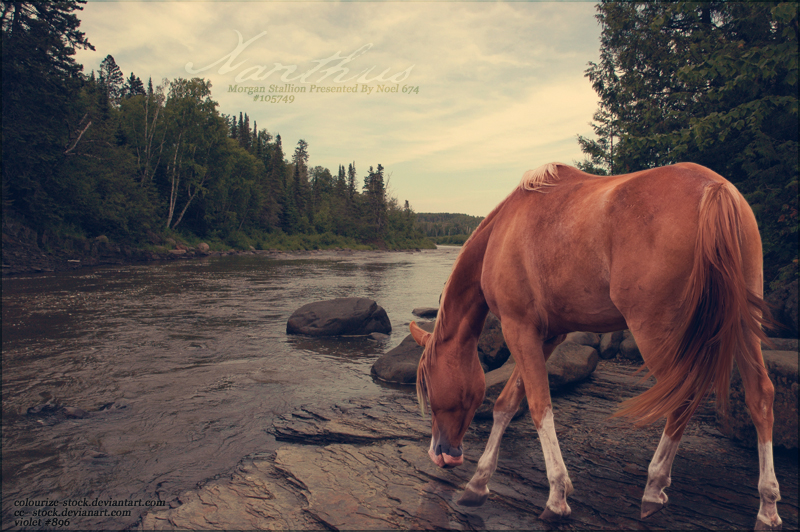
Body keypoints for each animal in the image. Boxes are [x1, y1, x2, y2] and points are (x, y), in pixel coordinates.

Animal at [410, 164, 784, 528]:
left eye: (427, 385)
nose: (441, 454)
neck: (502, 233)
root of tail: (715, 188)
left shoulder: (519, 329)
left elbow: (539, 407)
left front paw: (557, 494)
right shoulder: (547, 336)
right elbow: (506, 404)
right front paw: (477, 483)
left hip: (657, 333)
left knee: (682, 399)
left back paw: (654, 488)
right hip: (741, 325)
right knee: (760, 396)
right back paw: (767, 506)